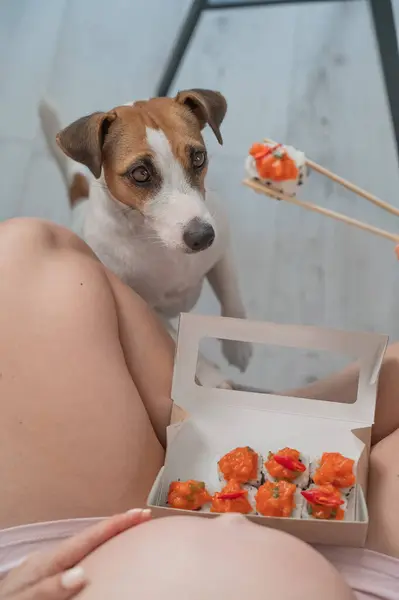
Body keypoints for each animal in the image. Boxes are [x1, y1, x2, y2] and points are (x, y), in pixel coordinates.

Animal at [40, 91, 253, 386]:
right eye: (140, 173)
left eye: (199, 157)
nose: (202, 237)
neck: (157, 241)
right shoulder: (145, 309)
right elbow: (179, 343)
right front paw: (210, 376)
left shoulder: (221, 248)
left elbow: (231, 295)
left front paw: (237, 344)